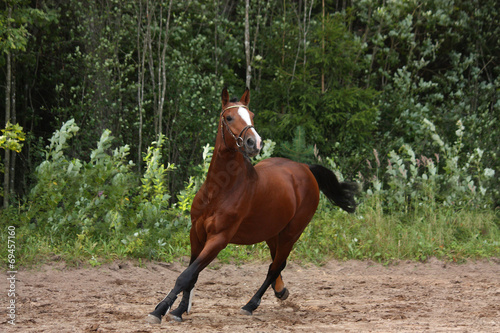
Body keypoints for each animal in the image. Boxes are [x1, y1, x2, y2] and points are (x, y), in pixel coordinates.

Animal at [146, 87, 358, 322]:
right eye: (229, 117)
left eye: (252, 116)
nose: (254, 143)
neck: (219, 189)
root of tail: (305, 168)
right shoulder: (197, 233)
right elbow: (192, 274)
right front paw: (179, 310)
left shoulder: (219, 239)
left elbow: (186, 275)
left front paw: (160, 310)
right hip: (272, 233)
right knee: (276, 263)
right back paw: (280, 291)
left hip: (291, 233)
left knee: (275, 267)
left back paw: (250, 304)